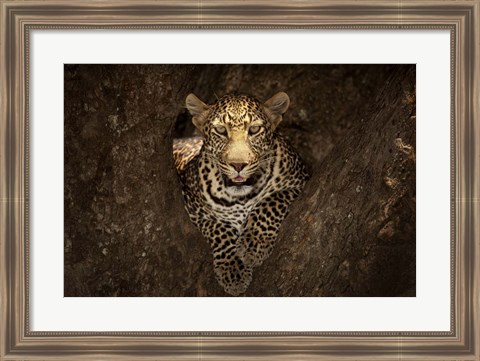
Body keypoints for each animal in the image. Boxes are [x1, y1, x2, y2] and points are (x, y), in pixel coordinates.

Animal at [174, 91, 310, 294]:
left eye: (254, 130)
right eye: (221, 130)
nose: (238, 165)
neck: (241, 198)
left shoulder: (300, 181)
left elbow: (270, 202)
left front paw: (253, 244)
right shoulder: (193, 207)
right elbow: (219, 229)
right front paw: (233, 269)